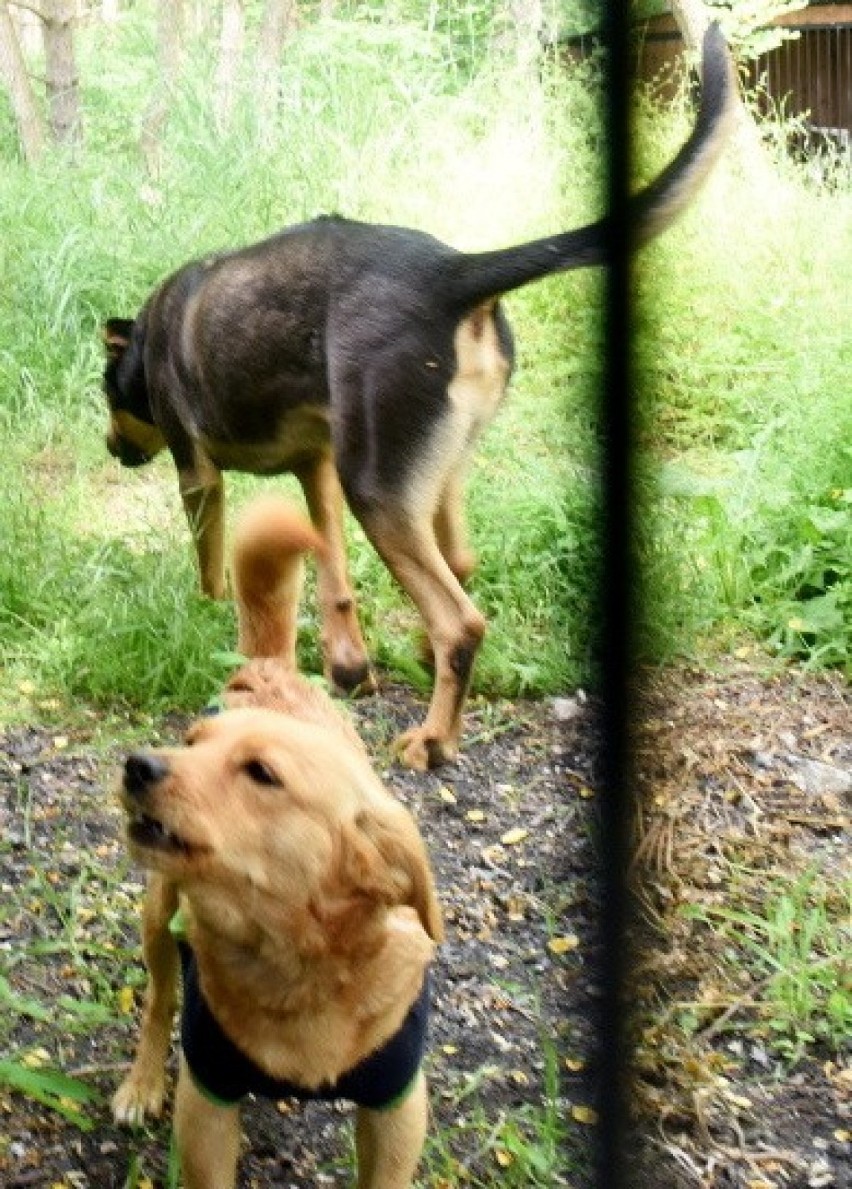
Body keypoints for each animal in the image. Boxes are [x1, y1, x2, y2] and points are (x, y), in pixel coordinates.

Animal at [102, 30, 736, 770]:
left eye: (106, 397)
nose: (111, 447)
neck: (152, 336)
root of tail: (453, 272)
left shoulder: (198, 474)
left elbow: (210, 568)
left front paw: (209, 615)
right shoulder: (318, 468)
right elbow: (335, 582)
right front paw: (348, 667)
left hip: (377, 489)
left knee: (460, 619)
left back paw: (434, 736)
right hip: (427, 475)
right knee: (459, 570)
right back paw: (424, 663)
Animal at [112, 494, 442, 1189]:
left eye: (262, 774)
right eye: (192, 745)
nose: (137, 766)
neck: (294, 967)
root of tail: (270, 670)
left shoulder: (396, 1106)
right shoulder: (208, 1098)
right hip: (157, 913)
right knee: (158, 999)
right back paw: (142, 1082)